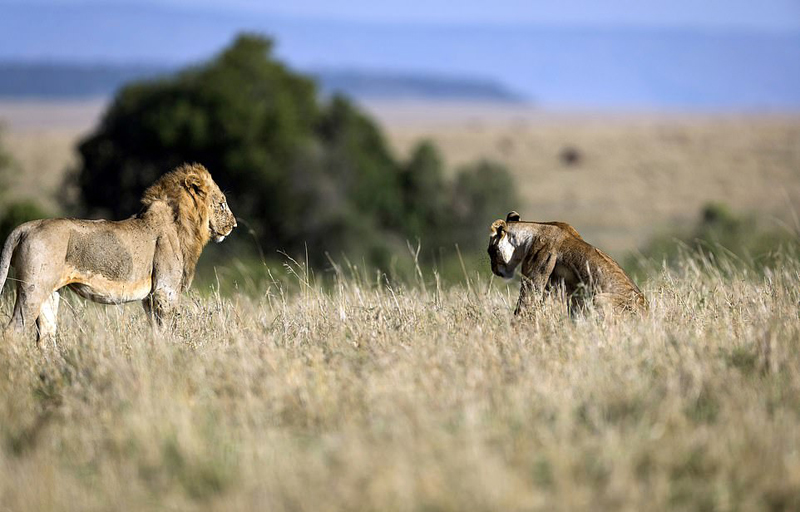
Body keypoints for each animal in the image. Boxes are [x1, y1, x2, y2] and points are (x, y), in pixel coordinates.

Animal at [0, 162, 236, 342]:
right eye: (222, 204)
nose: (234, 225)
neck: (184, 225)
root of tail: (25, 227)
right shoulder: (165, 291)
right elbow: (166, 330)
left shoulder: (150, 297)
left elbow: (156, 332)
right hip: (33, 288)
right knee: (12, 331)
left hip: (49, 294)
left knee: (45, 337)